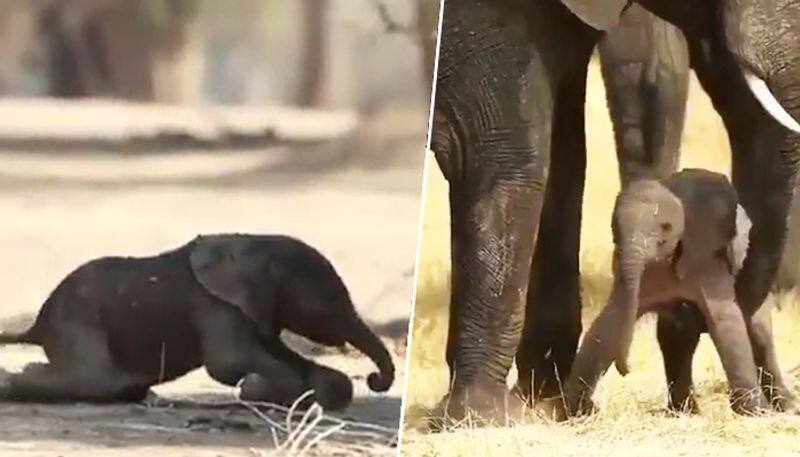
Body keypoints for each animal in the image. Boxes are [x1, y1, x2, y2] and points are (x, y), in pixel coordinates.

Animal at [0, 233, 396, 408]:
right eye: (326, 304)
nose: (374, 379)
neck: (254, 244)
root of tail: (37, 325)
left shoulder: (254, 307)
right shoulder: (214, 305)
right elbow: (228, 362)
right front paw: (256, 388)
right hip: (78, 318)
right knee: (97, 379)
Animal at [560, 168, 772, 416]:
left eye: (666, 227)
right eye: (615, 228)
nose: (627, 370)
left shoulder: (705, 256)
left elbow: (725, 322)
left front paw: (756, 412)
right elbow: (609, 321)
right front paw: (573, 412)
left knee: (758, 332)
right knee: (677, 337)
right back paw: (684, 409)